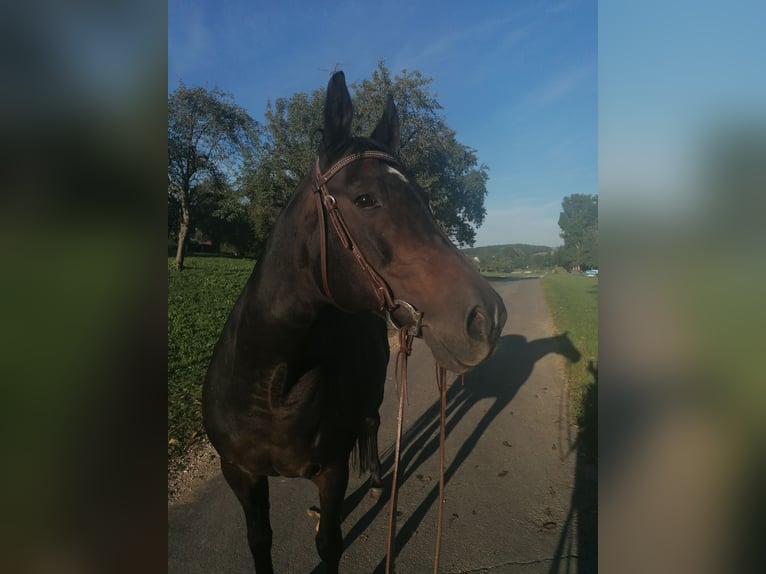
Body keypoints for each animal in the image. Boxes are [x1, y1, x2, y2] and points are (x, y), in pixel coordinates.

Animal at [201, 72, 508, 574]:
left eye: (425, 198)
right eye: (365, 199)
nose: (487, 318)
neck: (271, 384)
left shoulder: (332, 471)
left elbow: (330, 543)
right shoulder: (240, 474)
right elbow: (259, 539)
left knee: (372, 420)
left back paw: (381, 481)